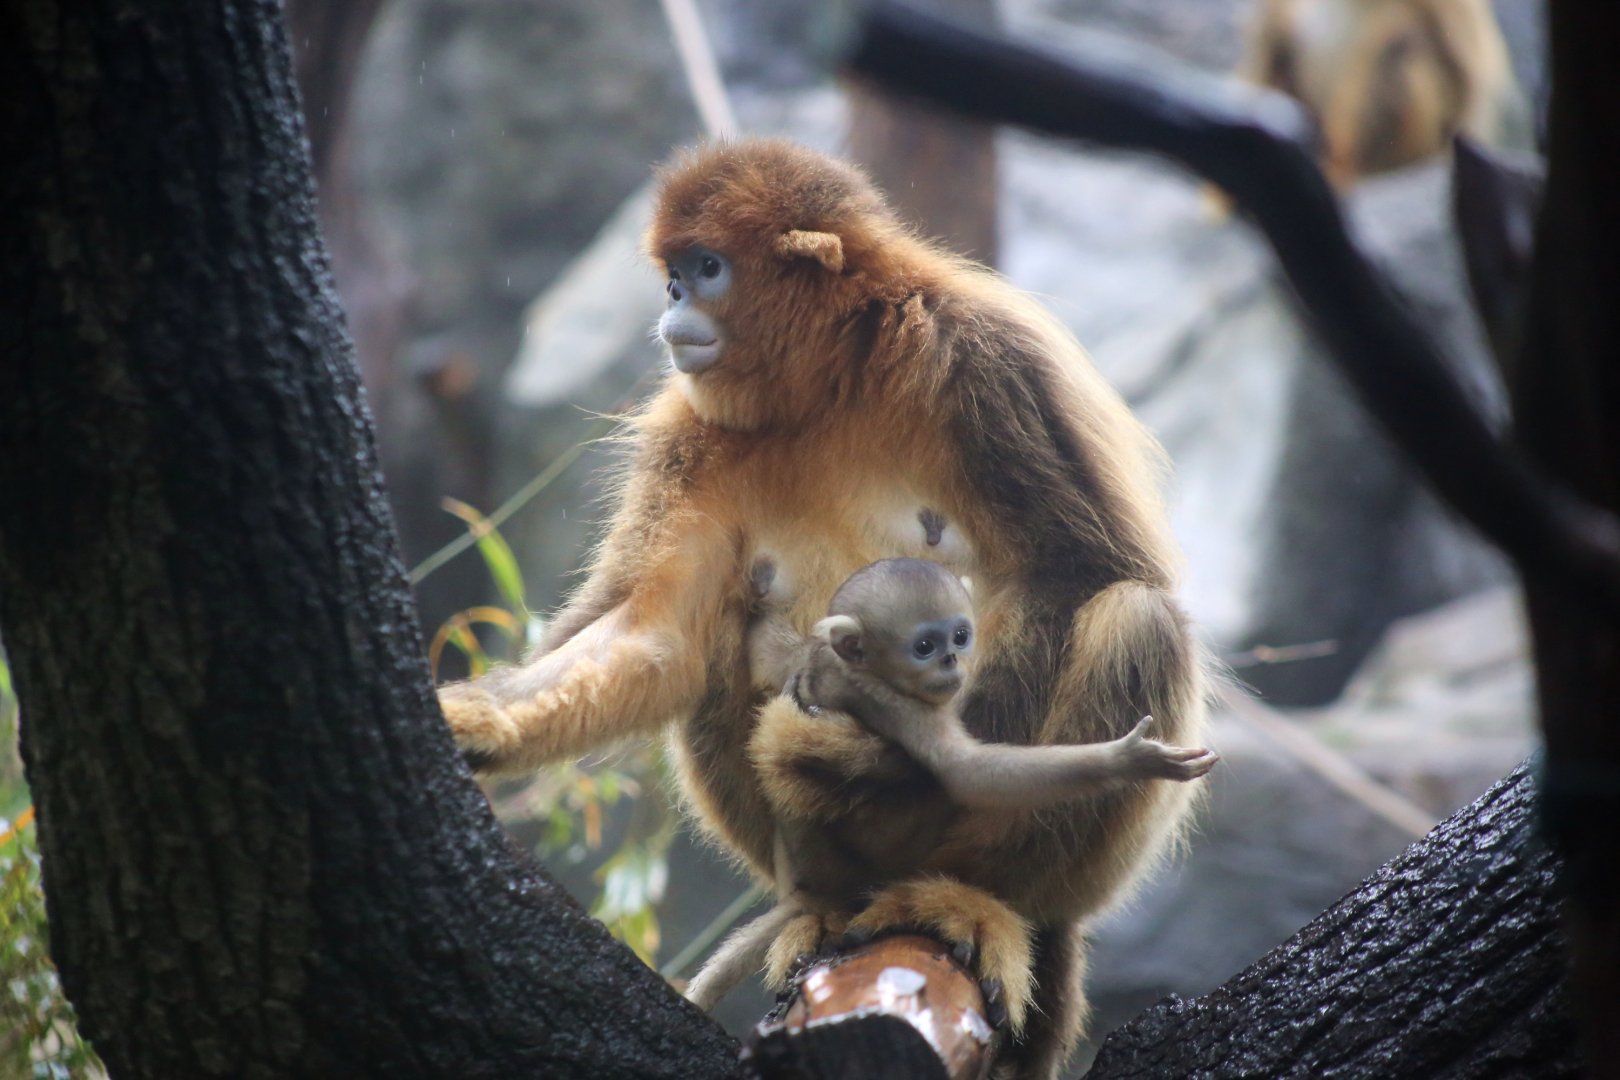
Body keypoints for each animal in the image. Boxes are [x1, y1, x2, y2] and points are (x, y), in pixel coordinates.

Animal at [682, 558, 1217, 1014]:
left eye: (960, 636)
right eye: (925, 647)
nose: (952, 663)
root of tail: (811, 892)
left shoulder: (809, 658)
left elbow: (764, 648)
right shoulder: (901, 705)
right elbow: (965, 771)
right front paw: (1130, 758)